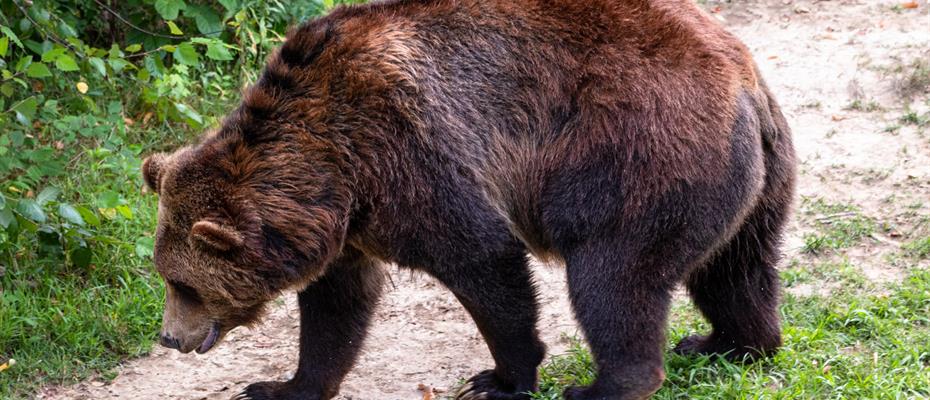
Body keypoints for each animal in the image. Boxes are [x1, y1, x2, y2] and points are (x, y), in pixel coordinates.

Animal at [141, 0, 792, 398]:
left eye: (183, 283)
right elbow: (336, 307)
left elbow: (483, 259)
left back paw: (605, 384)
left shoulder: (408, 153)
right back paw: (727, 343)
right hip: (753, 183)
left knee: (614, 276)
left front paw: (502, 378)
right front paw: (282, 386)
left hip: (638, 154)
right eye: (168, 277)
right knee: (736, 270)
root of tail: (744, 84)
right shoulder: (347, 223)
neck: (330, 169)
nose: (170, 338)